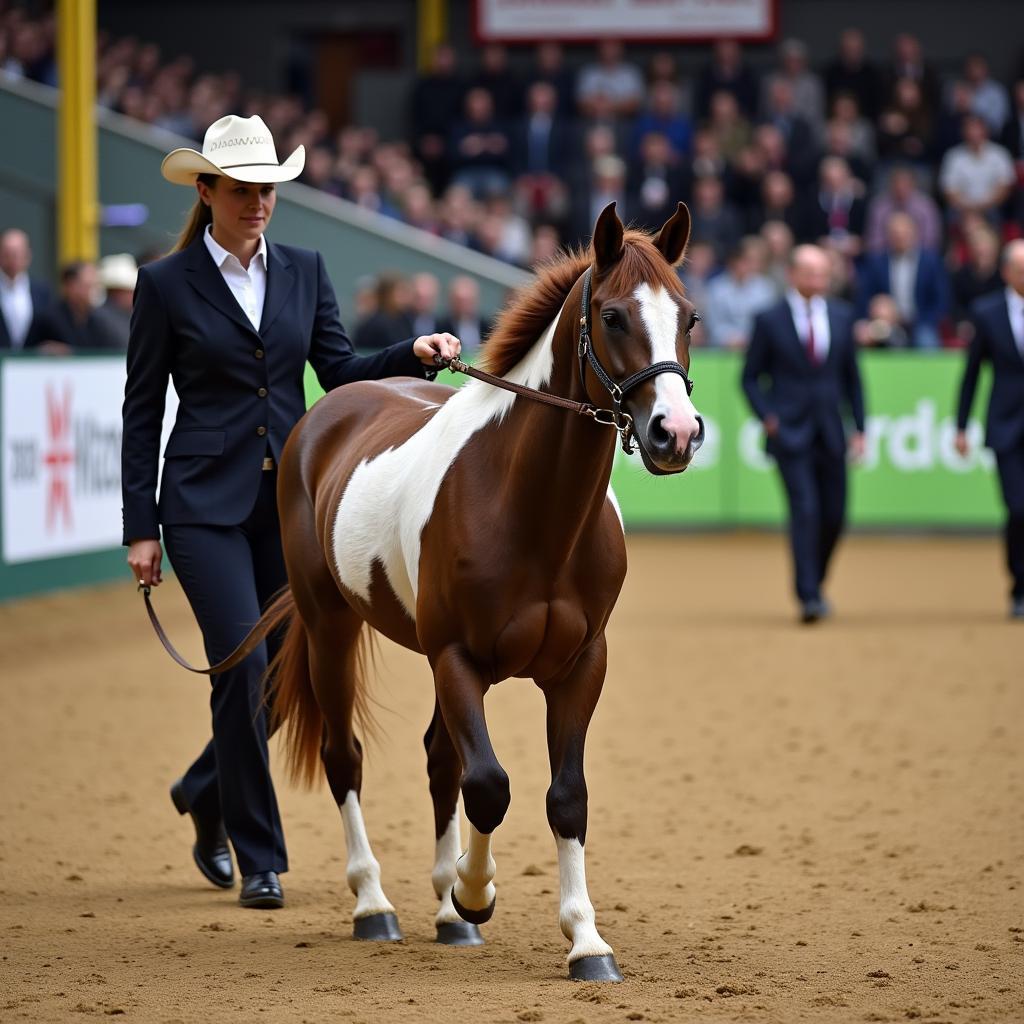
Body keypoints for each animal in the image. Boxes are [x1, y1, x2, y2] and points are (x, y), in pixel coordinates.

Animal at [266, 201, 704, 983]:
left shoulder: (580, 666)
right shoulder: (458, 658)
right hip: (330, 628)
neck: (530, 511)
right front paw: (477, 891)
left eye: (689, 317)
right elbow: (490, 785)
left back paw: (444, 915)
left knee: (441, 757)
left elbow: (564, 796)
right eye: (614, 316)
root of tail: (329, 410)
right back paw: (375, 904)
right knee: (348, 757)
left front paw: (586, 940)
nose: (675, 434)